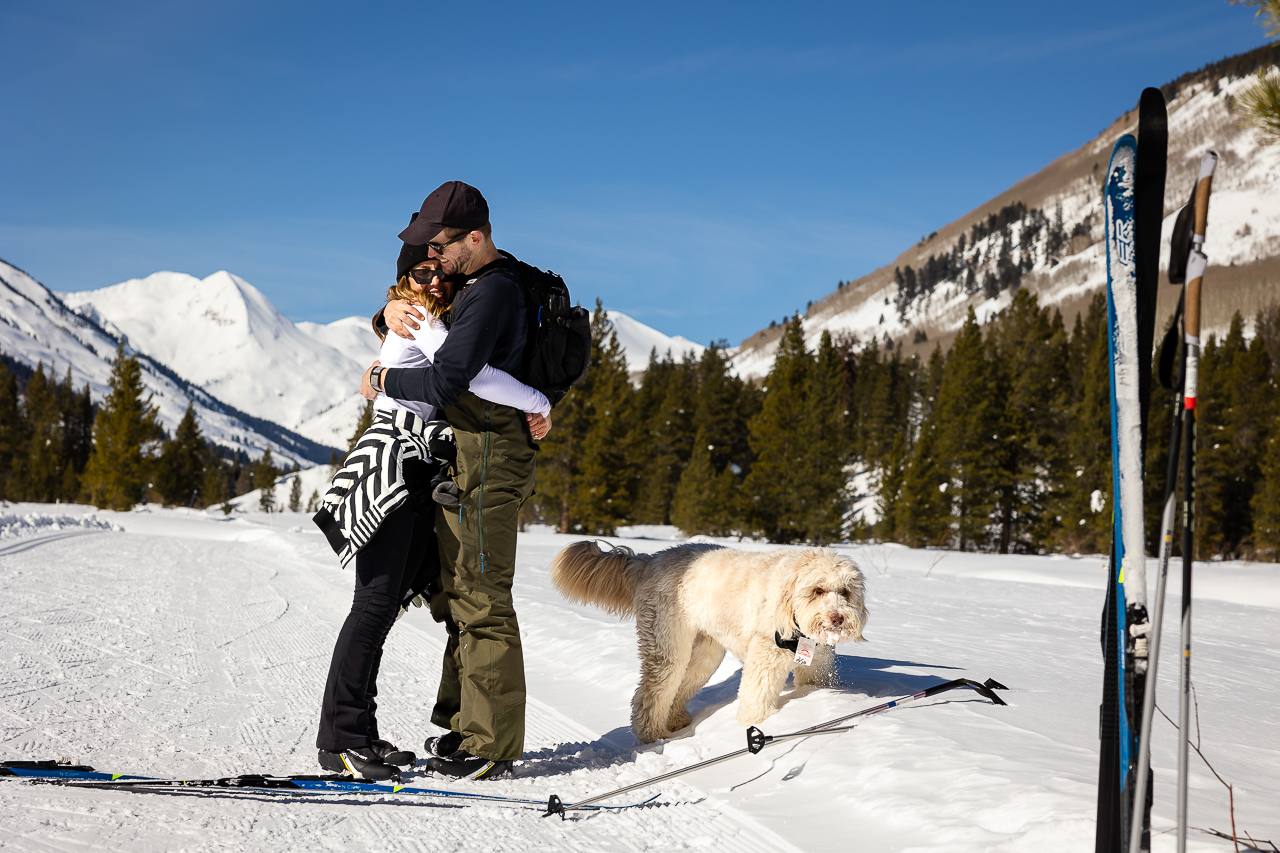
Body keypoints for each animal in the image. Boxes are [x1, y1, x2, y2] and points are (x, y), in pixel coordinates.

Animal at [550, 540, 870, 742]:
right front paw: (758, 724)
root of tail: (652, 559)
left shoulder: (816, 664)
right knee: (650, 694)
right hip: (667, 645)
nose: (837, 619)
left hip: (705, 652)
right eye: (818, 590)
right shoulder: (766, 658)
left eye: (845, 592)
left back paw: (676, 720)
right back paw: (651, 735)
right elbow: (757, 697)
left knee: (682, 685)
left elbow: (813, 684)